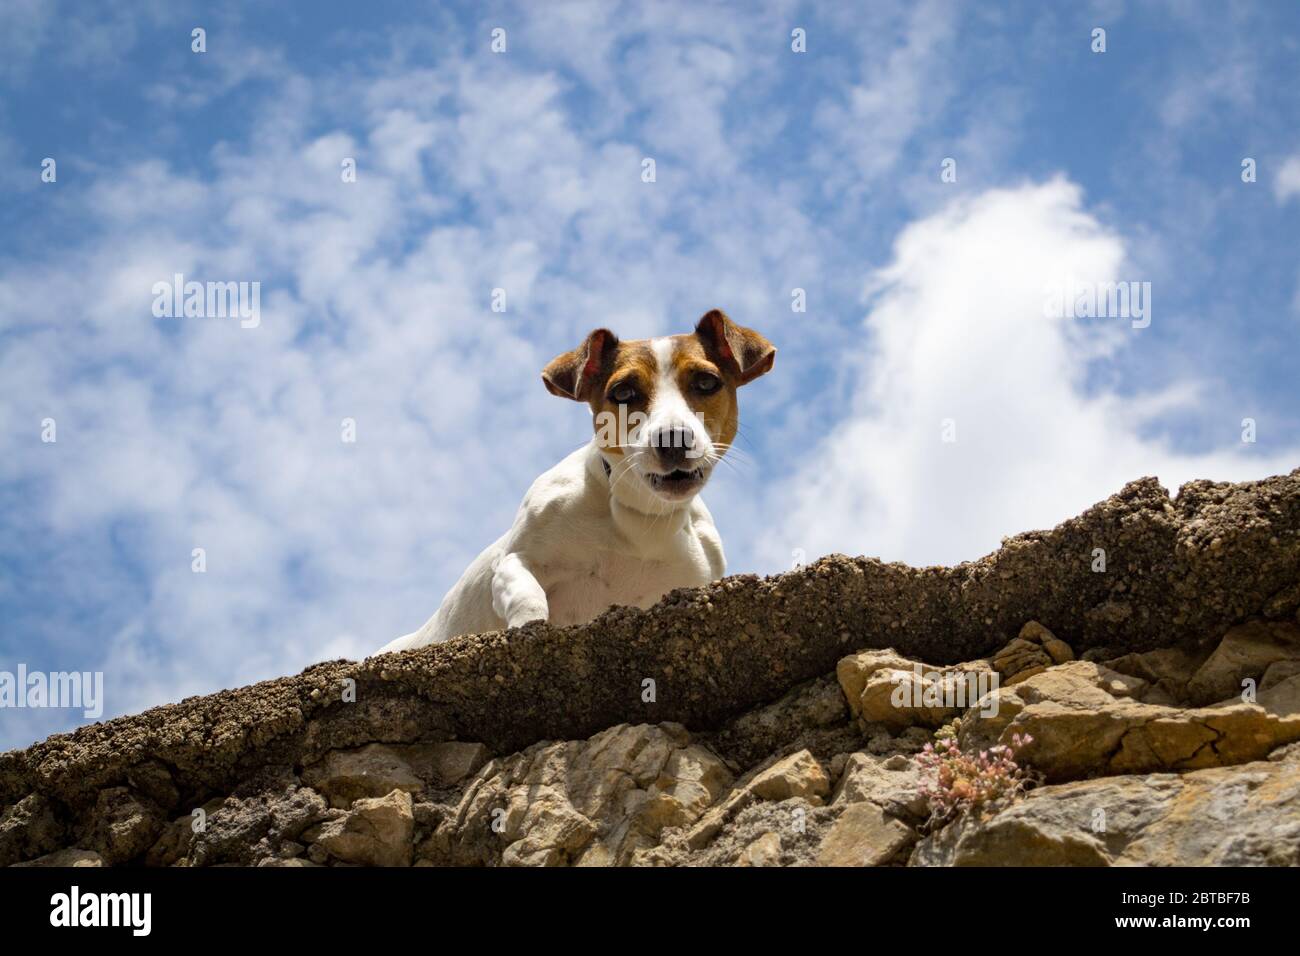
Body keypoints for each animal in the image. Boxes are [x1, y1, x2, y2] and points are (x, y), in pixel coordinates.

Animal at [379, 310, 774, 655]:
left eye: (706, 382)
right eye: (623, 392)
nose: (673, 439)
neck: (641, 518)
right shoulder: (515, 559)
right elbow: (526, 596)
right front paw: (530, 631)